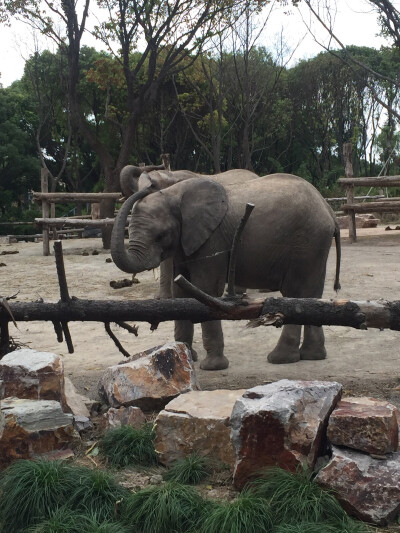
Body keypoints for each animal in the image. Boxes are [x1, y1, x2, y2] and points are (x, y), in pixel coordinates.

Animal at [110, 172, 340, 368]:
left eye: (161, 235)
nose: (147, 185)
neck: (174, 194)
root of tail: (327, 208)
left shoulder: (212, 240)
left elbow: (206, 291)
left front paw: (212, 366)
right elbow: (181, 293)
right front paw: (185, 356)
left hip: (307, 243)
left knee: (295, 294)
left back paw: (280, 358)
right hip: (315, 246)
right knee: (312, 295)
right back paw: (313, 356)